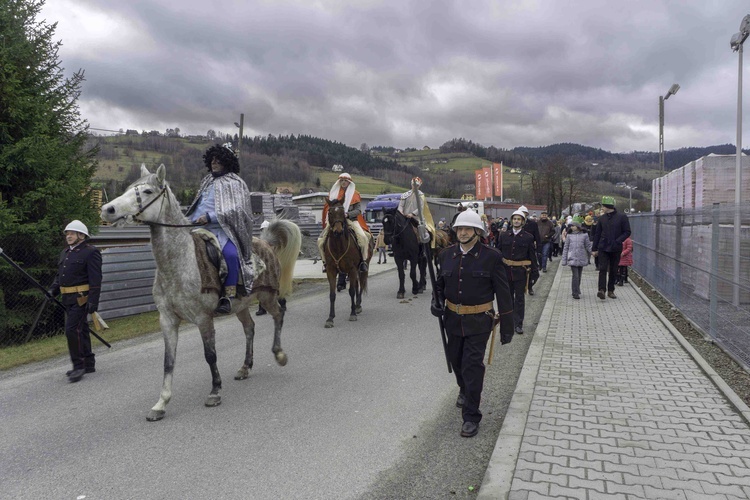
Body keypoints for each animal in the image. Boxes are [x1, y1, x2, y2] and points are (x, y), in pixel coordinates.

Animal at [100, 165, 302, 422]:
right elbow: (168, 361)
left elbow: (210, 355)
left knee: (278, 315)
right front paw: (161, 403)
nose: (108, 210)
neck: (179, 263)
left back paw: (279, 355)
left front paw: (215, 391)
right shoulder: (167, 320)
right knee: (250, 328)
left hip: (266, 297)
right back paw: (245, 367)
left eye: (147, 191)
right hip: (241, 305)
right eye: (128, 189)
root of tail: (265, 242)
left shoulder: (203, 318)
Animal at [324, 199, 374, 328]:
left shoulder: (352, 269)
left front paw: (352, 314)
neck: (338, 246)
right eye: (330, 213)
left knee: (361, 284)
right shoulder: (331, 270)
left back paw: (358, 306)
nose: (337, 231)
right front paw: (330, 318)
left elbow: (351, 291)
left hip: (362, 268)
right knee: (356, 284)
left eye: (343, 212)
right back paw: (356, 305)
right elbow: (332, 294)